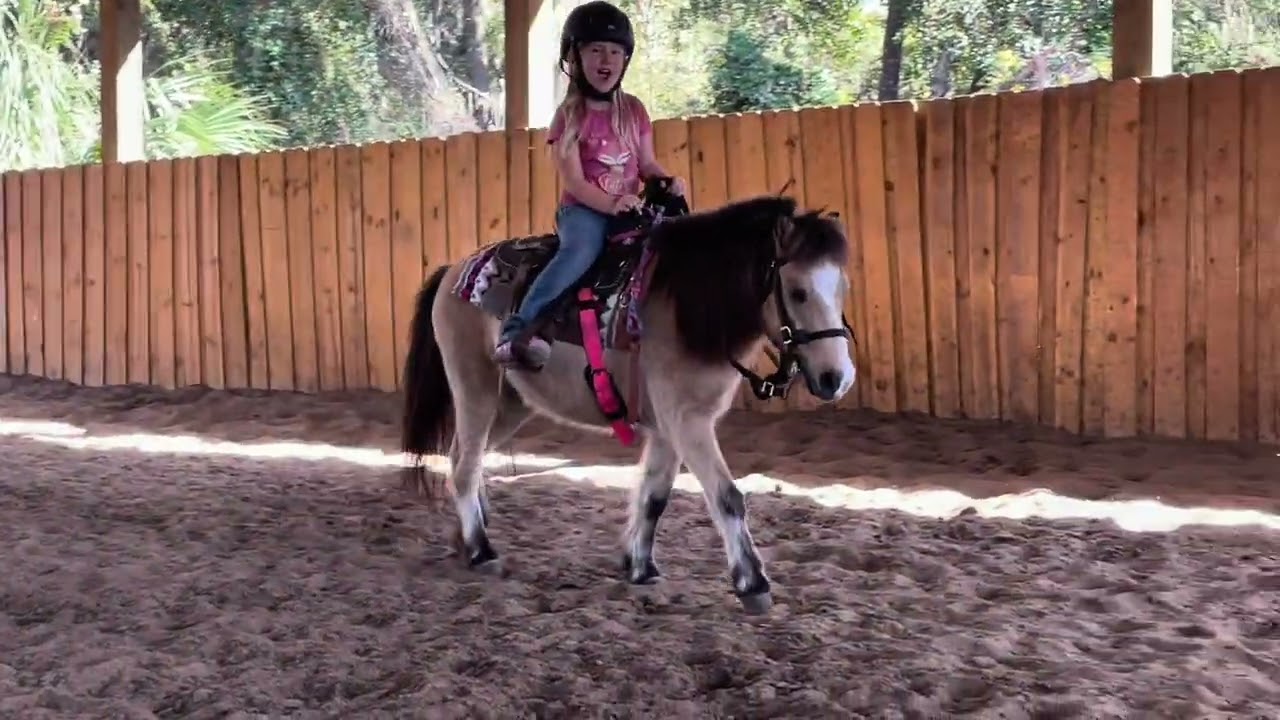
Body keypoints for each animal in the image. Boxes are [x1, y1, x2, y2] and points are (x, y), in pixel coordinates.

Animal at [398, 177, 857, 613]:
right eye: (797, 292)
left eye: (842, 288)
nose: (837, 378)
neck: (685, 305)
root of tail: (453, 271)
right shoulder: (687, 421)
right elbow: (727, 496)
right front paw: (753, 584)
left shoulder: (670, 427)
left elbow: (654, 496)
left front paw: (641, 568)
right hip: (474, 386)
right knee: (465, 463)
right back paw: (481, 550)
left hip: (511, 403)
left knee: (464, 459)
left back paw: (467, 537)